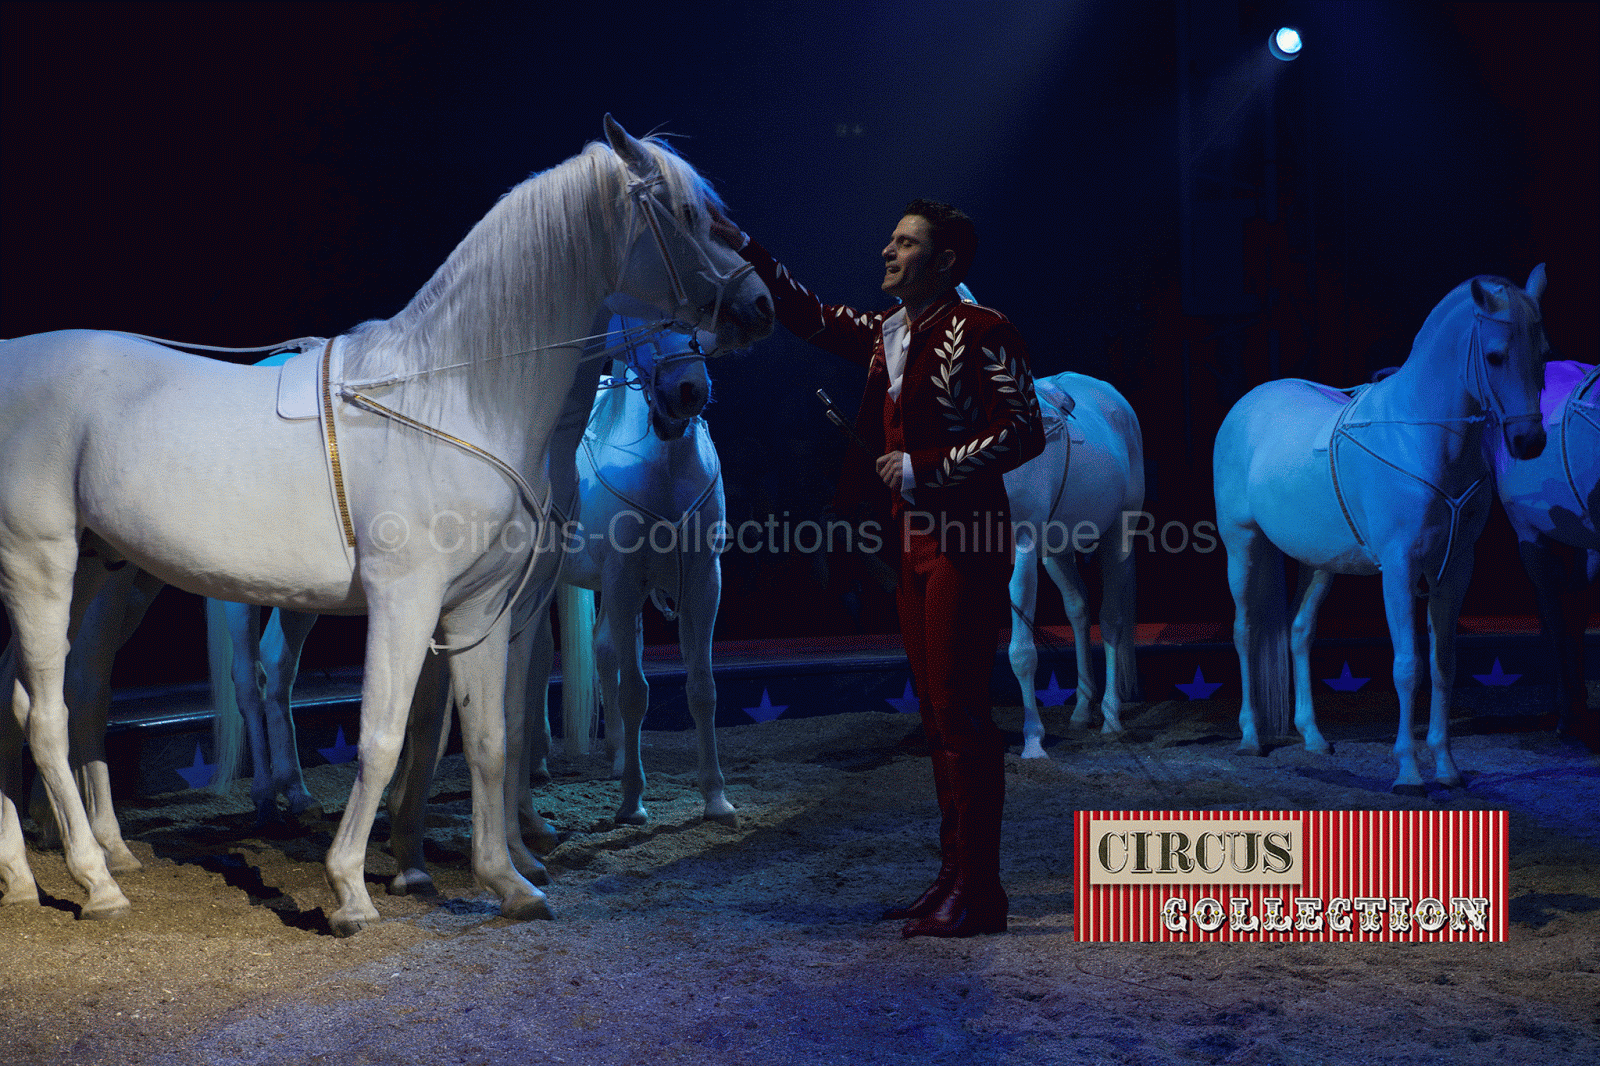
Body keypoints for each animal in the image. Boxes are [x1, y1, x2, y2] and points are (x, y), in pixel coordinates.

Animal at [0, 118, 774, 928]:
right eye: (686, 215)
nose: (762, 304)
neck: (456, 394)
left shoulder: (481, 609)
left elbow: (491, 737)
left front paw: (507, 880)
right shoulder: (406, 600)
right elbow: (385, 733)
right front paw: (350, 887)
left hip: (90, 569)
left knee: (25, 701)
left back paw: (25, 874)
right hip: (43, 563)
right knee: (53, 711)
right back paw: (99, 877)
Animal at [1004, 369, 1145, 752]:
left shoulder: (1023, 547)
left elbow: (1023, 652)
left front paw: (1033, 741)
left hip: (1119, 534)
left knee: (1110, 619)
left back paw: (1111, 716)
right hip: (1057, 551)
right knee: (1078, 610)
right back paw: (1083, 709)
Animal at [1209, 260, 1548, 784]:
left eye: (1544, 353)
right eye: (1494, 357)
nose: (1529, 441)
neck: (1421, 439)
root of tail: (1249, 401)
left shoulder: (1454, 569)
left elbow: (1444, 665)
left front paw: (1447, 767)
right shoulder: (1401, 568)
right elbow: (1408, 666)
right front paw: (1408, 771)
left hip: (1318, 561)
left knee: (1299, 631)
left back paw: (1313, 737)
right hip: (1242, 545)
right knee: (1245, 630)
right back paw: (1250, 737)